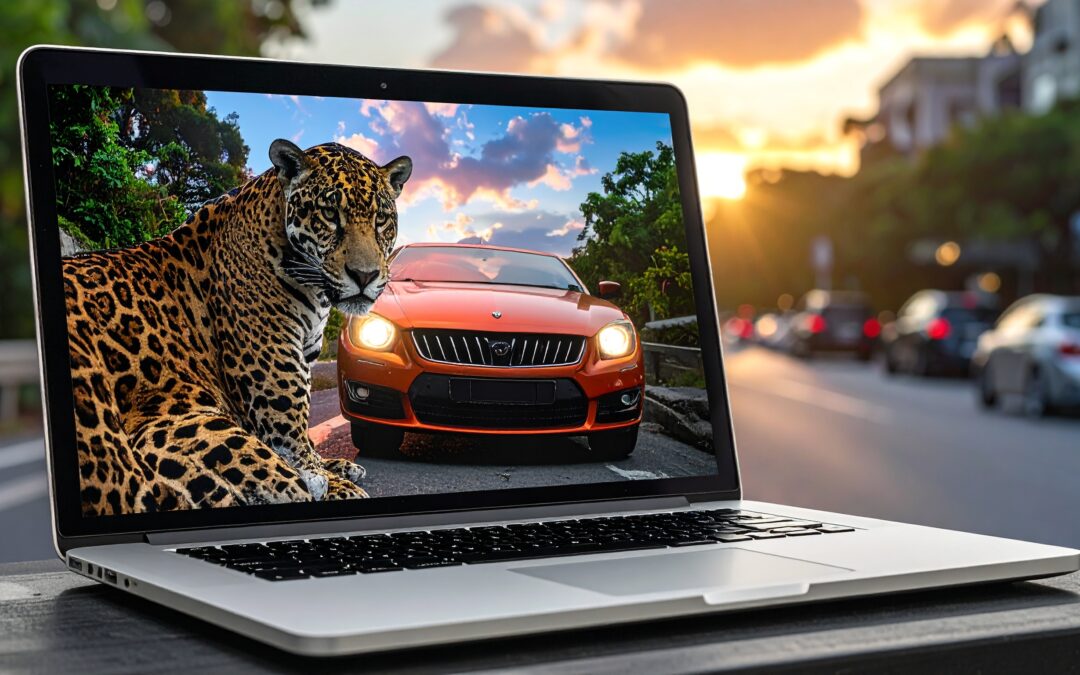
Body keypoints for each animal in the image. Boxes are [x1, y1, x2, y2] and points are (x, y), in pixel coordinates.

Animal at [62, 139, 412, 515]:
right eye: (330, 215)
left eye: (381, 220)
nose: (365, 276)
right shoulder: (274, 386)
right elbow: (295, 444)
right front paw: (334, 482)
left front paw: (336, 467)